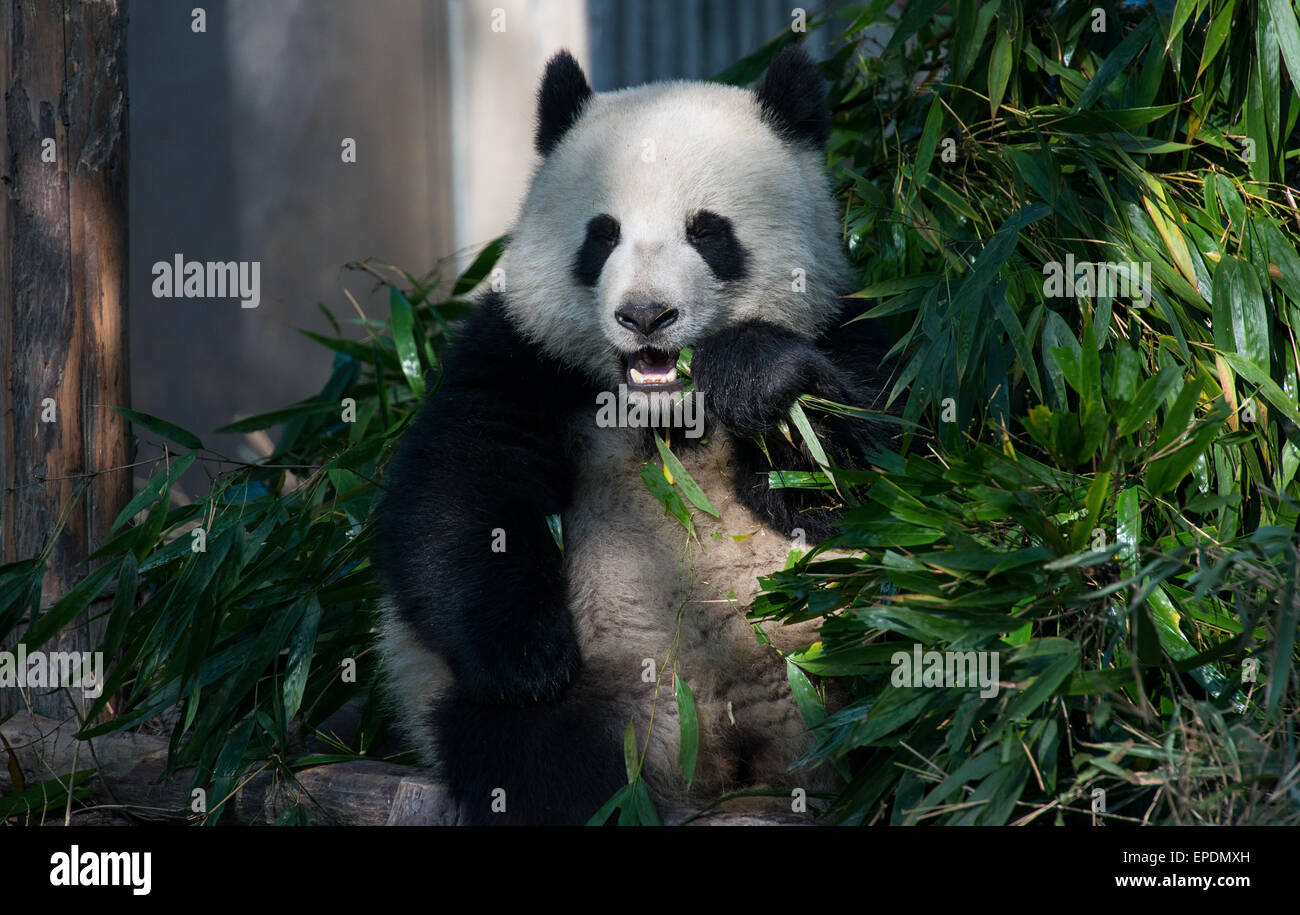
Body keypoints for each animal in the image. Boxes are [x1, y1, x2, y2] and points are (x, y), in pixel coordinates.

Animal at [371, 46, 889, 826]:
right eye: (603, 234)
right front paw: (528, 661)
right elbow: (463, 489)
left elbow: (860, 478)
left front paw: (758, 377)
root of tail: (730, 750)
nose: (646, 315)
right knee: (540, 756)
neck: (664, 417)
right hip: (606, 698)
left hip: (832, 648)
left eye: (707, 230)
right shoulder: (522, 356)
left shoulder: (848, 329)